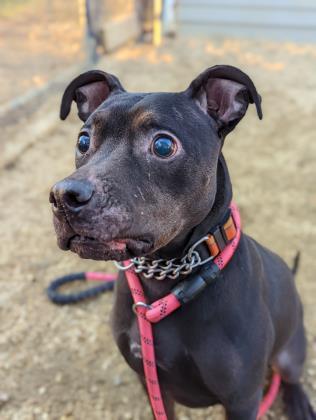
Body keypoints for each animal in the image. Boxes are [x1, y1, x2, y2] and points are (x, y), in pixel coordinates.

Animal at [50, 66, 316, 420]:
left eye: (163, 145)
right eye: (83, 141)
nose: (63, 197)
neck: (167, 275)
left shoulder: (243, 399)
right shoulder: (152, 384)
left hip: (290, 351)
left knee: (290, 374)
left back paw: (298, 401)